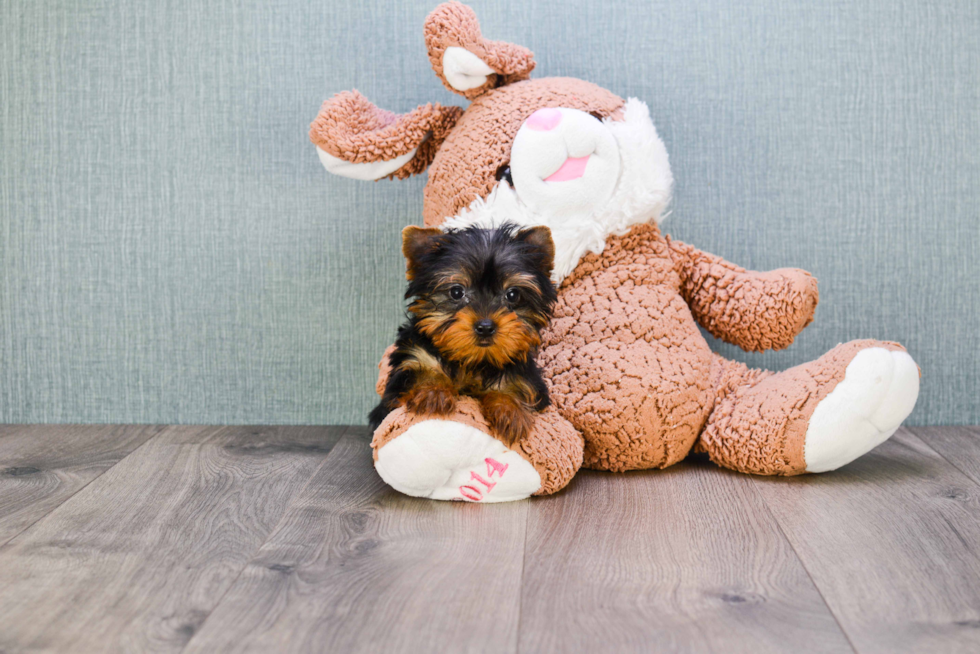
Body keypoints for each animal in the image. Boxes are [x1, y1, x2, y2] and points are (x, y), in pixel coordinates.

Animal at [368, 224, 556, 446]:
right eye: (456, 292)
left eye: (512, 294)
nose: (485, 326)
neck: (473, 361)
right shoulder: (410, 363)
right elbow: (423, 373)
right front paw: (433, 392)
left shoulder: (526, 376)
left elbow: (511, 388)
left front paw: (510, 410)